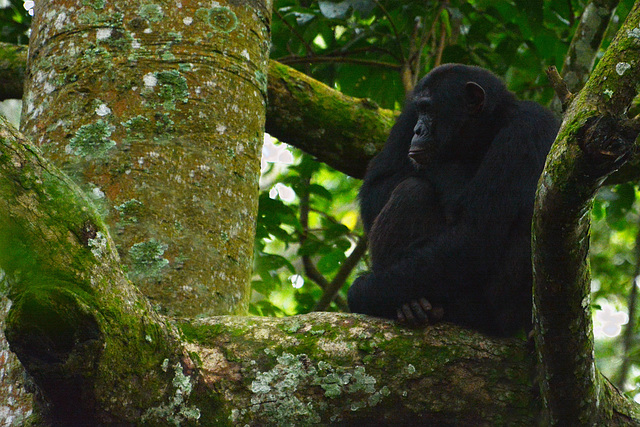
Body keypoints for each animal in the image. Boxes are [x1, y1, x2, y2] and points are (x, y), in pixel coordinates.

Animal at [350, 64, 560, 338]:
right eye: (420, 110)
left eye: (429, 110)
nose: (418, 130)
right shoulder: (406, 117)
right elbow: (377, 186)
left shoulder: (528, 128)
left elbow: (474, 235)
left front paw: (363, 292)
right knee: (412, 190)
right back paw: (412, 306)